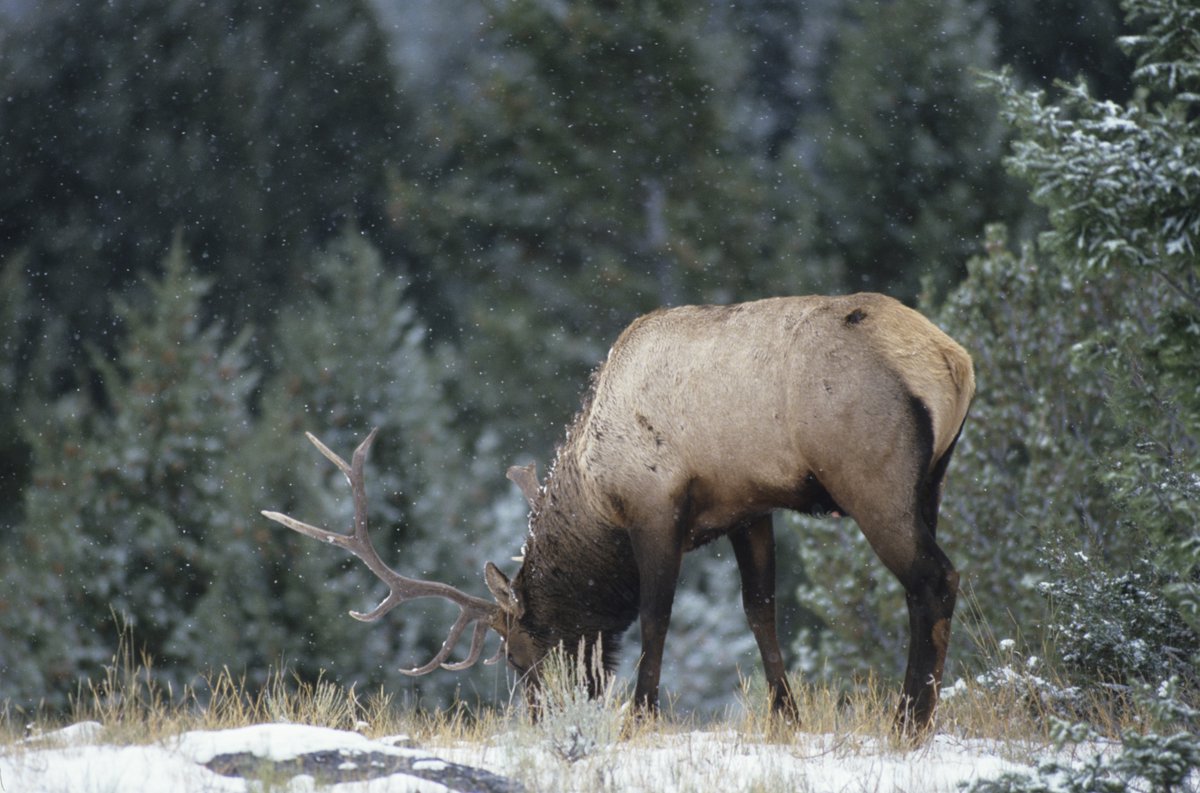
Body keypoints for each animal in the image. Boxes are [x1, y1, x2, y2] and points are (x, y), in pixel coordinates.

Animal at [263, 293, 975, 736]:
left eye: (521, 652)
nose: (544, 717)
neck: (597, 491)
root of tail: (953, 361)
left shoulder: (657, 508)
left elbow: (656, 617)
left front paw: (640, 715)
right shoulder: (750, 507)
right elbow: (761, 612)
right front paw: (787, 716)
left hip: (872, 477)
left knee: (934, 579)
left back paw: (909, 721)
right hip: (932, 483)